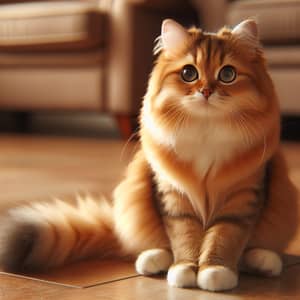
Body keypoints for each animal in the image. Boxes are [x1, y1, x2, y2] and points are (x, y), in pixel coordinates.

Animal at [0, 19, 300, 292]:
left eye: (227, 74)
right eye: (189, 73)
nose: (205, 91)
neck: (206, 130)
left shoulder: (242, 198)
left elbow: (224, 237)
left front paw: (215, 271)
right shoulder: (174, 196)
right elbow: (185, 238)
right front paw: (185, 270)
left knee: (253, 250)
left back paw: (264, 260)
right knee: (147, 246)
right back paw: (153, 259)